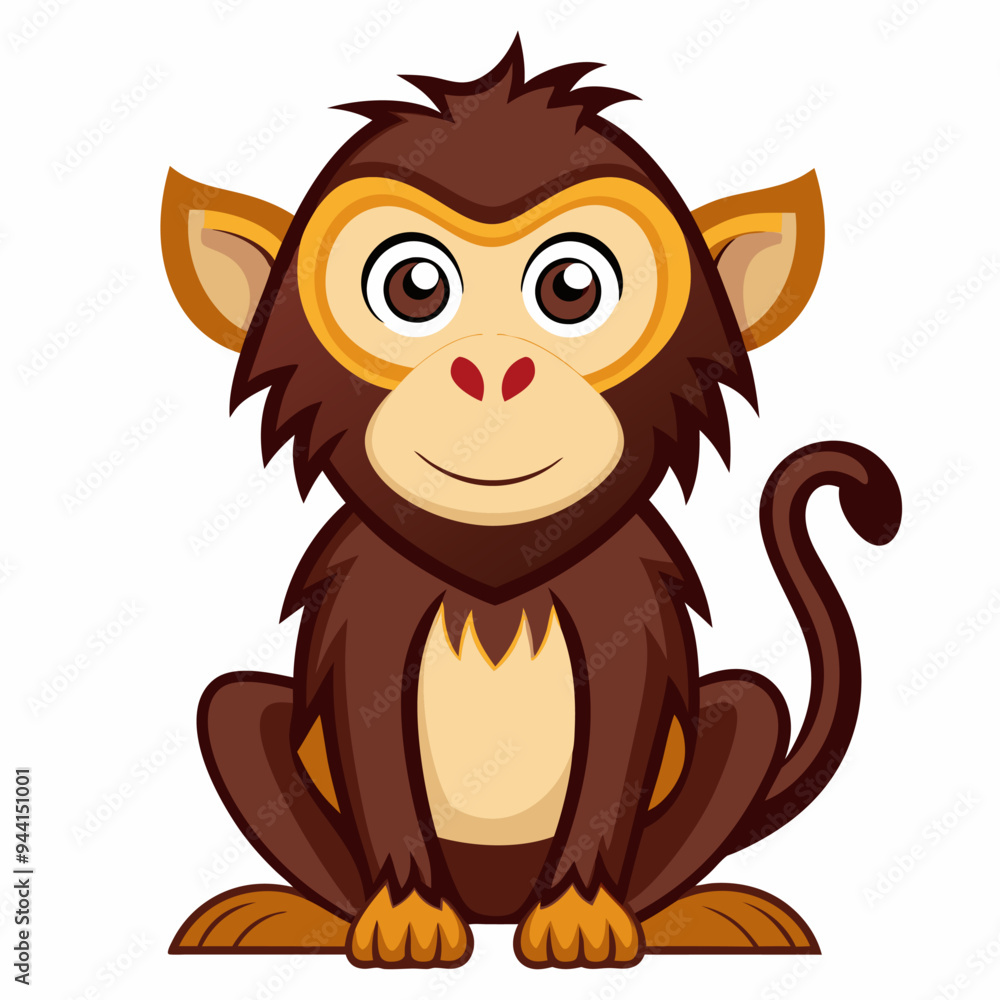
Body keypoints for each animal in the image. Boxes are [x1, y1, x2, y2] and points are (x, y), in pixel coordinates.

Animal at [160, 38, 901, 969]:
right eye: (413, 287)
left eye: (571, 288)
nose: (490, 372)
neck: (494, 573)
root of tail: (494, 907)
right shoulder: (368, 598)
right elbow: (370, 738)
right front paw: (405, 912)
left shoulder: (625, 597)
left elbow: (621, 733)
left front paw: (582, 912)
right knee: (234, 710)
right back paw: (294, 917)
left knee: (751, 710)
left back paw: (703, 913)